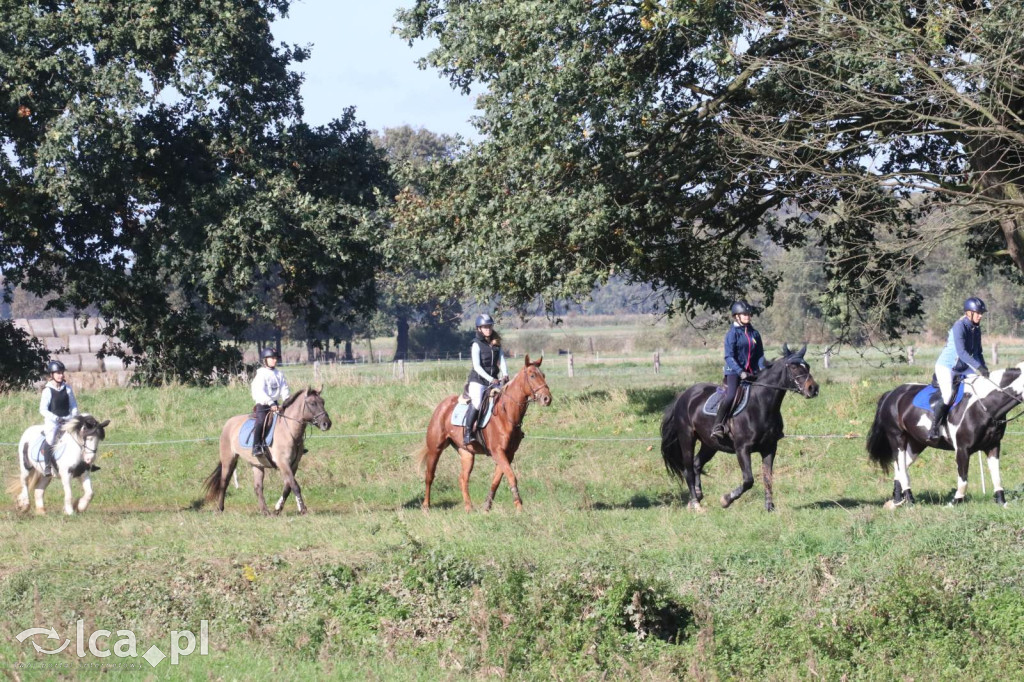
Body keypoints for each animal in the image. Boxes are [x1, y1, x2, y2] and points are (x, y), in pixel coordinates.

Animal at [199, 385, 327, 512]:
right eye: (312, 403)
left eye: (323, 402)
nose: (327, 423)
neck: (288, 431)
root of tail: (228, 423)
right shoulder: (283, 462)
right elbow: (294, 486)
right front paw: (302, 508)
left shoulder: (293, 464)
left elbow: (288, 486)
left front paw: (278, 508)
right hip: (228, 459)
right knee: (224, 483)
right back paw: (220, 508)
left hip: (257, 464)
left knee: (258, 487)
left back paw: (265, 511)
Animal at [415, 356, 552, 509]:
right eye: (532, 375)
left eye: (543, 375)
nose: (547, 399)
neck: (506, 415)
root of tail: (441, 406)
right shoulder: (498, 452)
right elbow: (511, 476)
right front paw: (519, 505)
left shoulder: (508, 454)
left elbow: (497, 480)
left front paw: (487, 505)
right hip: (435, 449)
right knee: (429, 475)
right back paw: (426, 506)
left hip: (467, 453)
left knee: (463, 478)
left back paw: (469, 507)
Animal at [659, 346, 819, 509]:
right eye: (793, 367)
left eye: (807, 366)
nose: (813, 388)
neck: (760, 404)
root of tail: (683, 396)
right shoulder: (742, 449)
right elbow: (748, 480)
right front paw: (726, 500)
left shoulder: (769, 448)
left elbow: (767, 477)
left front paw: (769, 507)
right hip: (687, 438)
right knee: (688, 469)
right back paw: (696, 503)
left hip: (710, 444)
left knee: (697, 464)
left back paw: (698, 494)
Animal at [864, 366, 1024, 503]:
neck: (983, 405)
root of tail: (892, 394)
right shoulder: (962, 449)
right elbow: (963, 479)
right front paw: (955, 502)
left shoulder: (993, 446)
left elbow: (996, 476)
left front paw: (1002, 502)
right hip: (897, 438)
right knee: (901, 468)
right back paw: (909, 500)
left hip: (917, 443)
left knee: (899, 467)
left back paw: (897, 500)